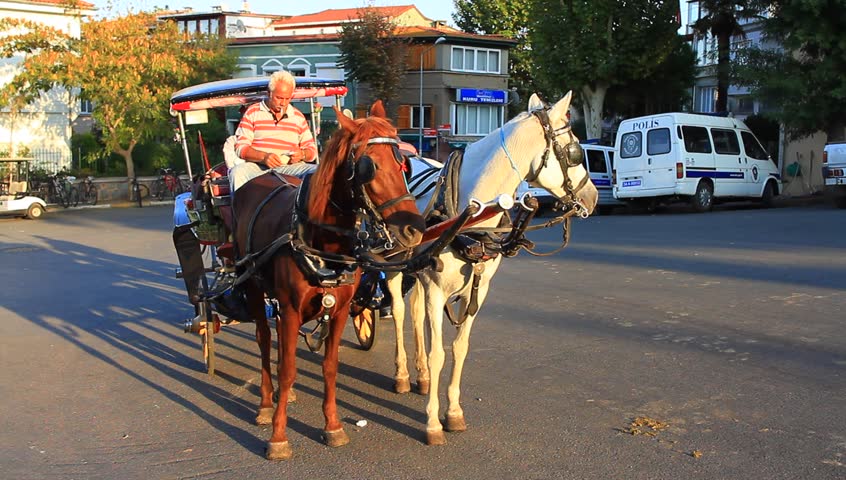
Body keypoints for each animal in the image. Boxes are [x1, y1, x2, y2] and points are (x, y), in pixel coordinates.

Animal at [233, 101, 426, 460]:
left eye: (402, 163)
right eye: (369, 167)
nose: (414, 229)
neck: (320, 241)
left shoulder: (338, 311)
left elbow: (329, 366)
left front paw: (332, 426)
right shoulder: (291, 310)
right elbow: (288, 368)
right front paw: (278, 435)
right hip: (252, 285)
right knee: (265, 341)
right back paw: (267, 403)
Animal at [385, 91, 598, 445]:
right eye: (575, 151)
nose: (593, 196)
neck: (471, 214)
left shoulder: (478, 289)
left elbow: (459, 348)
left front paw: (453, 412)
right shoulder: (436, 288)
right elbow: (438, 352)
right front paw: (432, 424)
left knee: (414, 312)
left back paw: (422, 376)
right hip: (391, 266)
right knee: (401, 312)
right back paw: (402, 374)